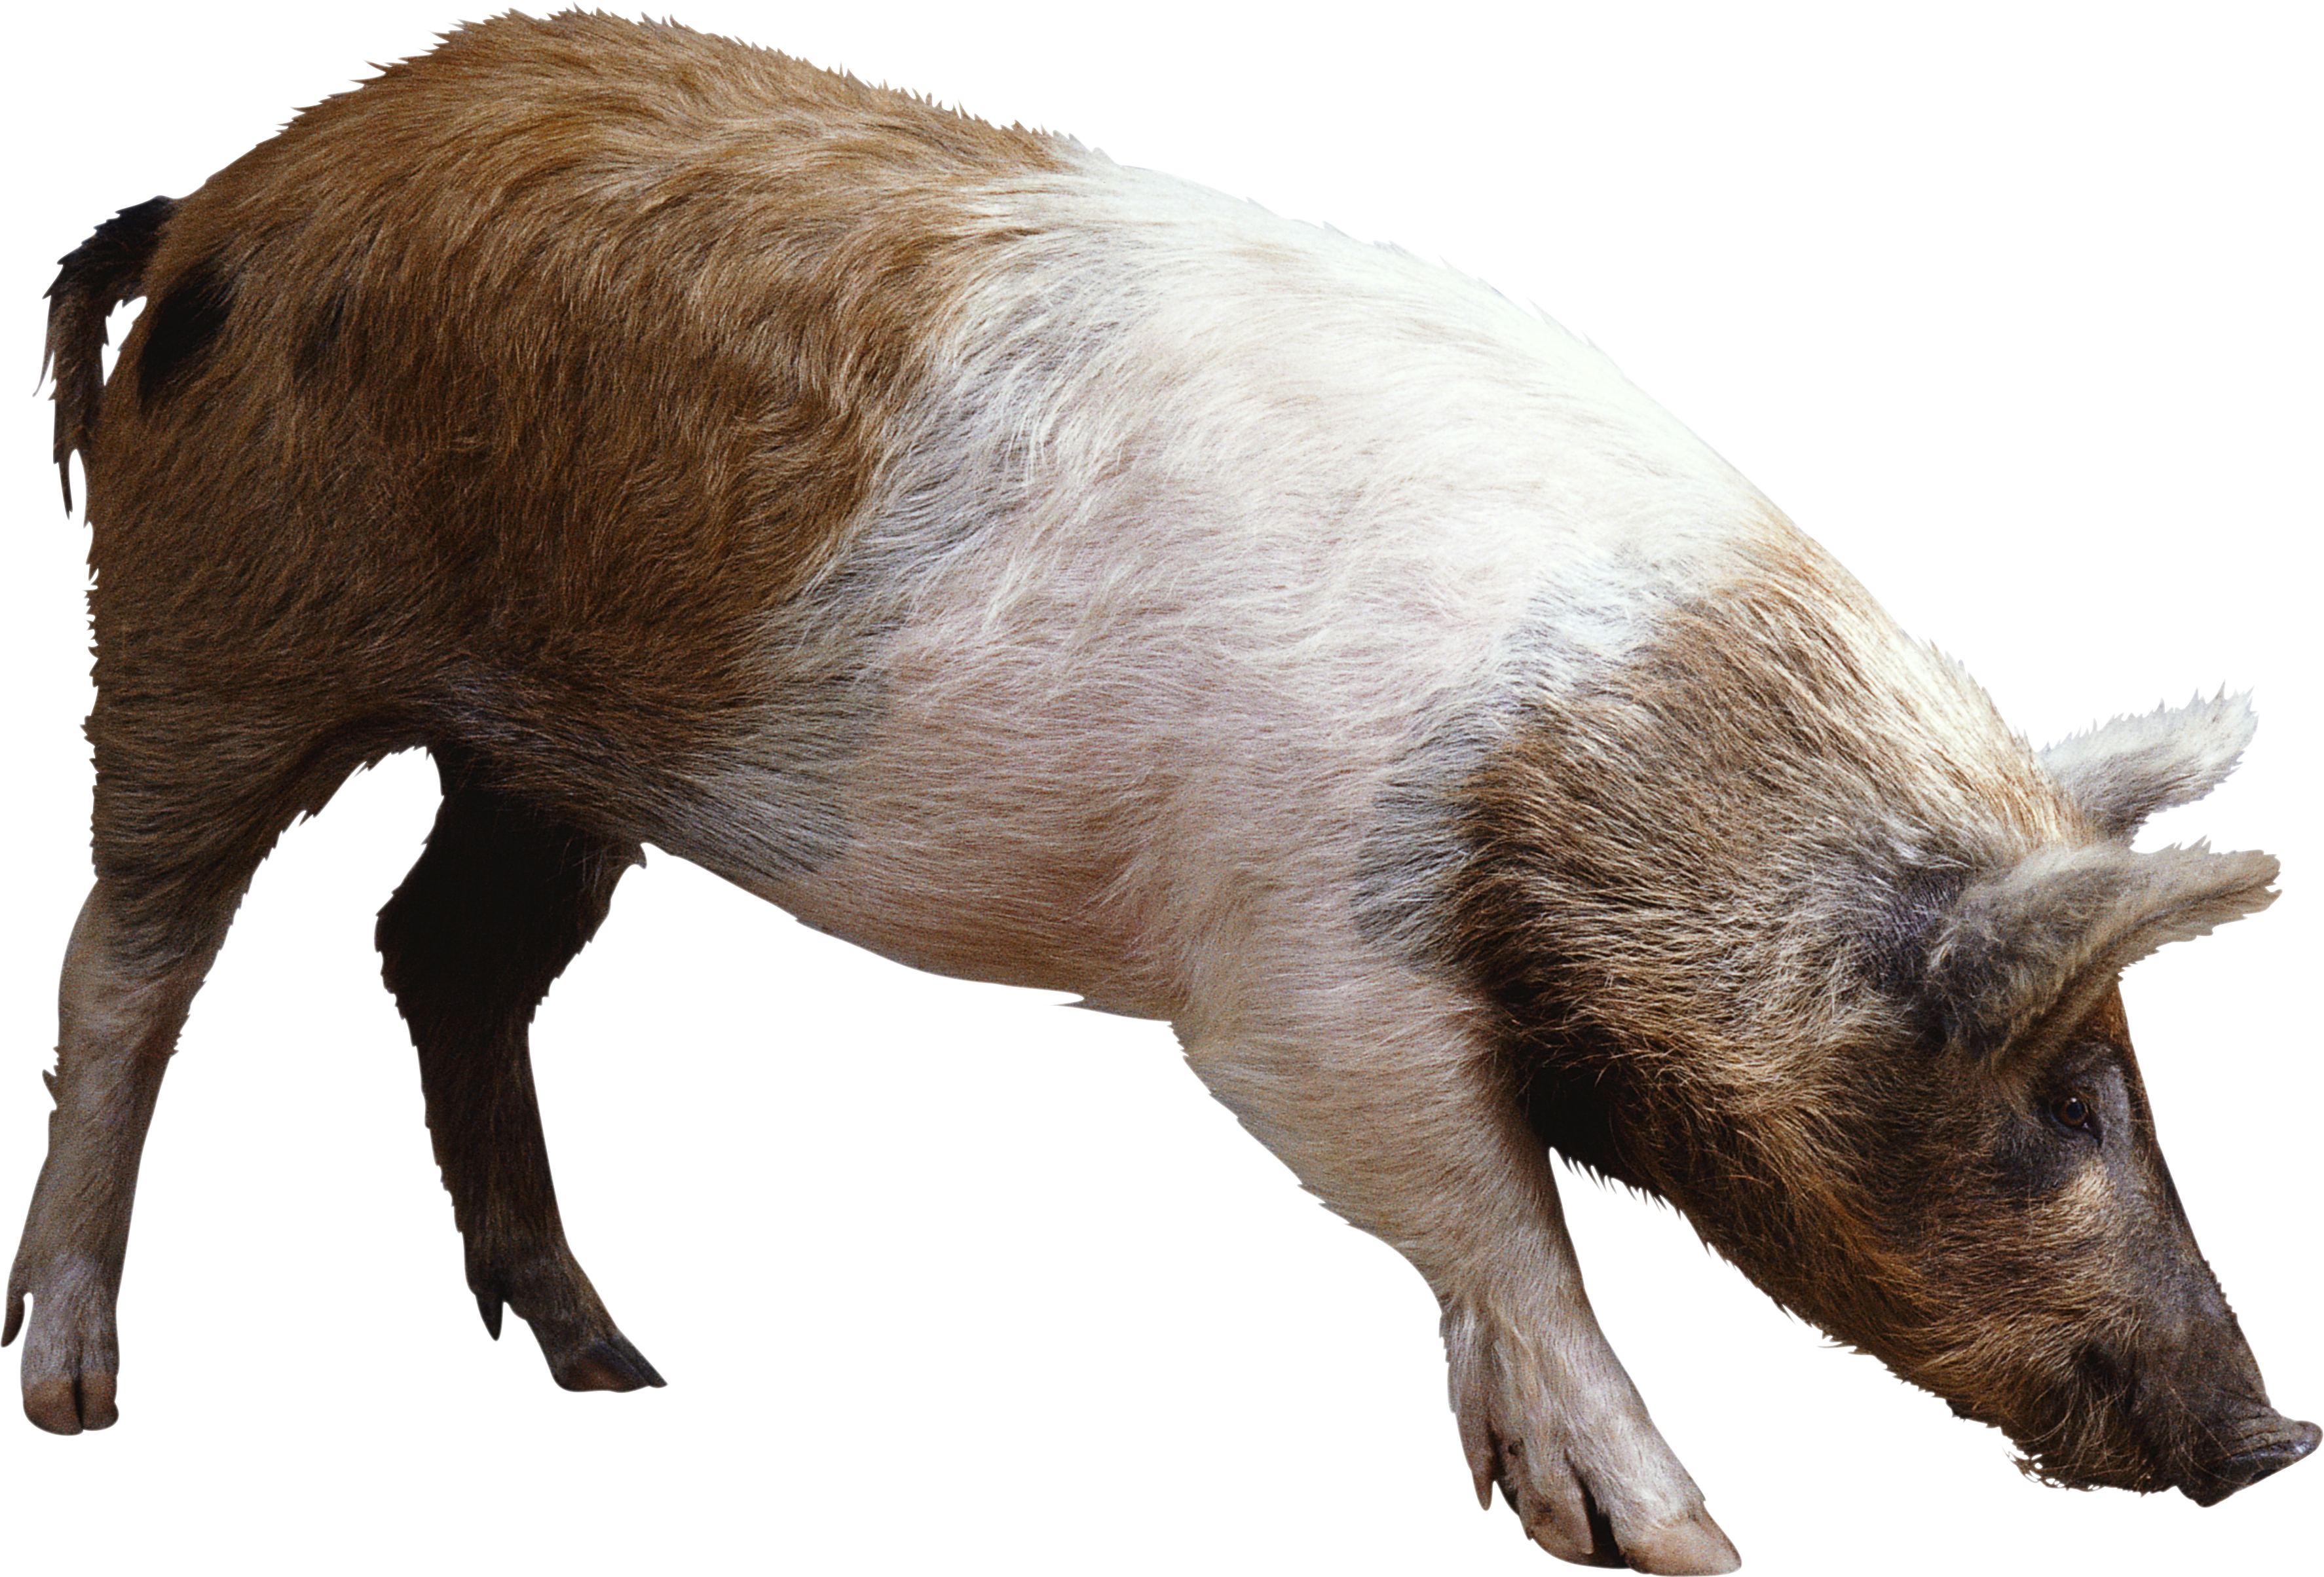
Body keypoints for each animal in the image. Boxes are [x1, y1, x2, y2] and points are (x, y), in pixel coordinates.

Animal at [5, 11, 2312, 1572]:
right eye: (2054, 1095)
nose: (2273, 1434)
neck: (1600, 788)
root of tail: (211, 204)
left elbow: (1492, 1237)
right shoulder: (1292, 978)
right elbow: (1504, 1212)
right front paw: (1688, 1541)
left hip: (541, 751)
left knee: (442, 958)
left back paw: (613, 1369)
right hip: (205, 637)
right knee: (128, 961)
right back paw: (81, 1399)